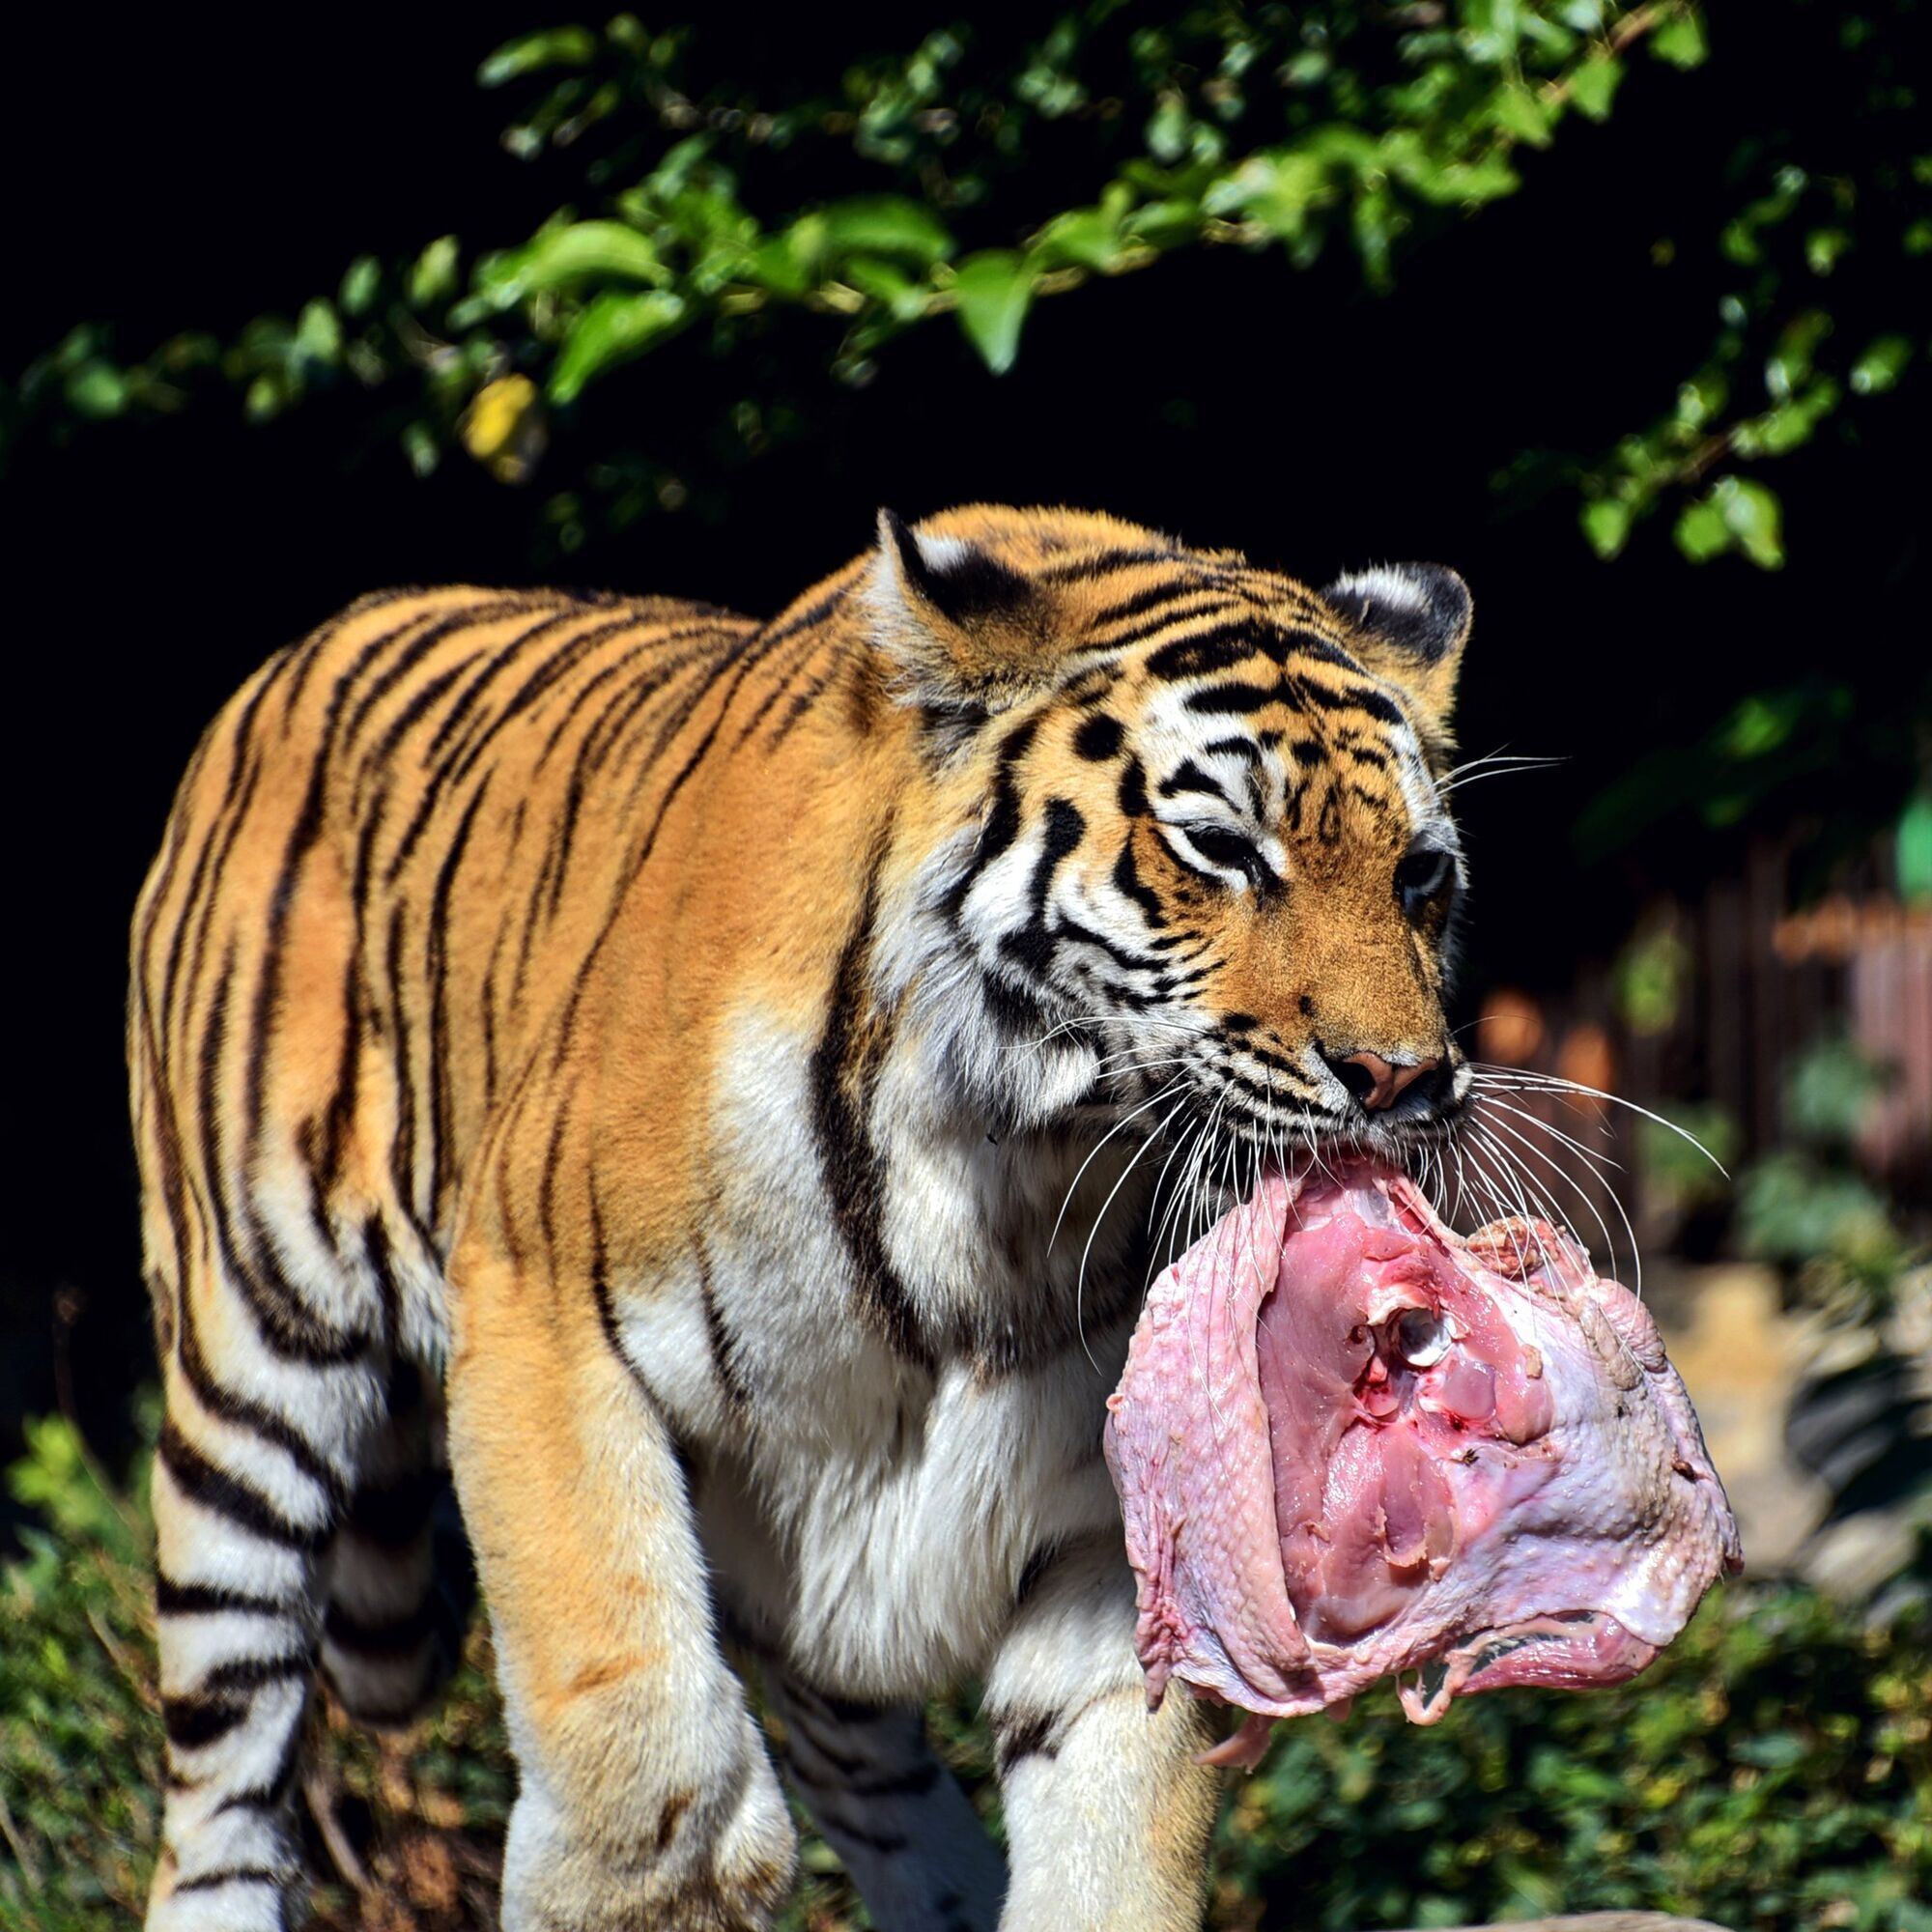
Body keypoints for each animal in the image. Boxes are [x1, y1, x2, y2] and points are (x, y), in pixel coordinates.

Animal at [128, 506, 1468, 1924]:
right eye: (1220, 849)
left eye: (1418, 874)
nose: (1404, 1080)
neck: (1025, 1168)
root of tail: (324, 633)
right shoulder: (543, 1317)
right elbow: (646, 1761)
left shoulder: (1108, 1507)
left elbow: (1108, 1816)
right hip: (249, 1376)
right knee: (222, 1772)